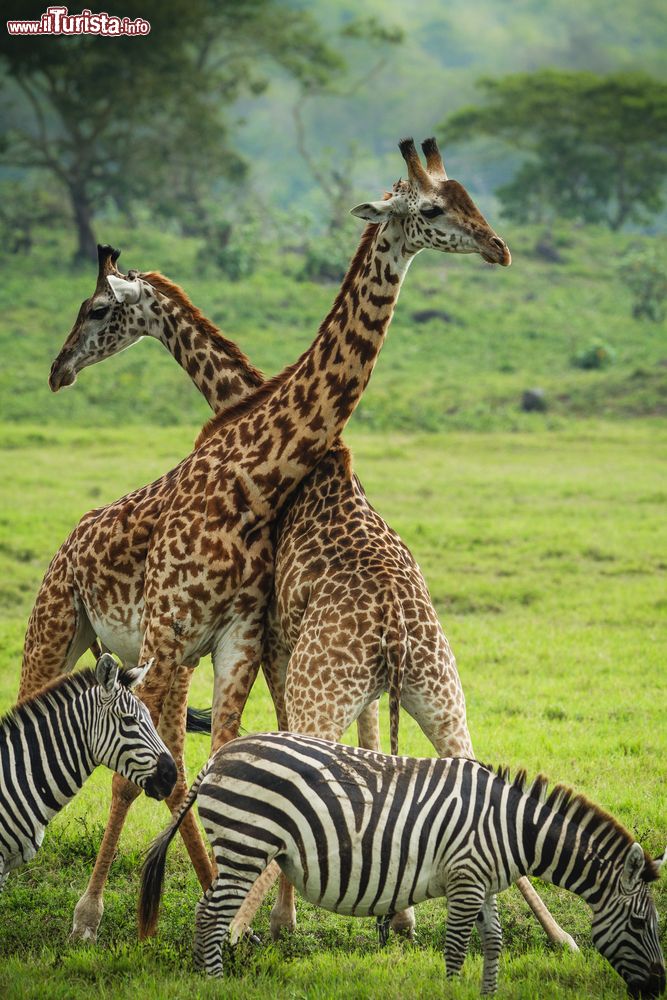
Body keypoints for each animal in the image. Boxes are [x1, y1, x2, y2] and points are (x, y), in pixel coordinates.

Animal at [49, 143, 576, 952]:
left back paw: (238, 920)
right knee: (470, 771)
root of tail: (396, 638)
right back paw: (545, 933)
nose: (58, 369)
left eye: (98, 309)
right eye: (436, 206)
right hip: (437, 692)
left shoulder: (261, 638)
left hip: (323, 679)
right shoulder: (250, 640)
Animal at [138, 732, 664, 996]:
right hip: (245, 845)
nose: (659, 988)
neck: (511, 828)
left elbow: (492, 944)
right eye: (641, 924)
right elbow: (456, 949)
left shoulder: (484, 881)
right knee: (211, 916)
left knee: (207, 914)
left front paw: (487, 994)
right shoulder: (465, 879)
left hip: (241, 847)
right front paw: (453, 992)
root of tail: (221, 754)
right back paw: (214, 984)